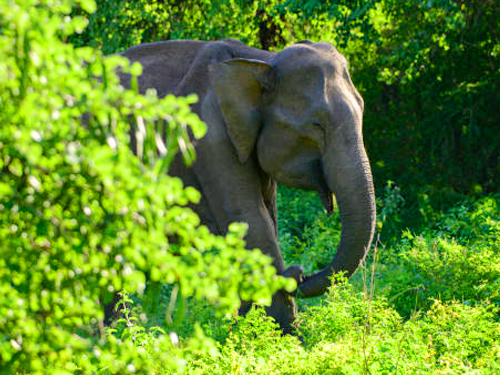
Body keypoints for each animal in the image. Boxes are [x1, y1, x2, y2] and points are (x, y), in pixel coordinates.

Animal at [118, 39, 376, 334]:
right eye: (316, 124)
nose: (299, 273)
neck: (261, 60)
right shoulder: (209, 137)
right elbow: (251, 222)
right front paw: (279, 339)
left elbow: (267, 221)